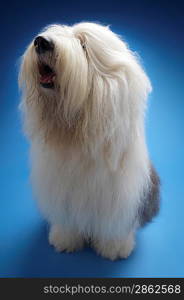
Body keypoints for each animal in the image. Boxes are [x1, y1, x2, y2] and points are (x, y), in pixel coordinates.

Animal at [19, 22, 160, 260]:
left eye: (83, 45)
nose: (41, 42)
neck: (76, 131)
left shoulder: (119, 194)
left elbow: (114, 224)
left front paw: (114, 248)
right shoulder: (62, 189)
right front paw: (65, 240)